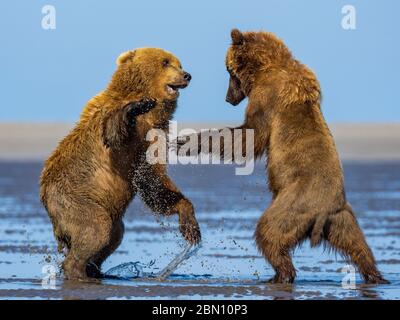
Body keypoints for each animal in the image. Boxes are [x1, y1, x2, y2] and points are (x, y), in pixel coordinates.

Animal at [39, 47, 200, 280]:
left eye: (179, 63)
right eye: (165, 62)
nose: (186, 75)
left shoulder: (155, 136)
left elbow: (154, 180)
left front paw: (190, 224)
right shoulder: (115, 127)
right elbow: (113, 131)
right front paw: (137, 105)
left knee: (114, 235)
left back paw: (95, 270)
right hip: (72, 199)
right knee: (96, 228)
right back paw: (78, 271)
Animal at [181, 30, 388, 284]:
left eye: (228, 70)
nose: (228, 98)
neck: (265, 69)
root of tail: (323, 211)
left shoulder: (267, 97)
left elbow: (249, 136)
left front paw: (186, 140)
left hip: (294, 203)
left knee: (269, 231)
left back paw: (279, 275)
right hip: (342, 218)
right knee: (358, 245)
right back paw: (376, 275)